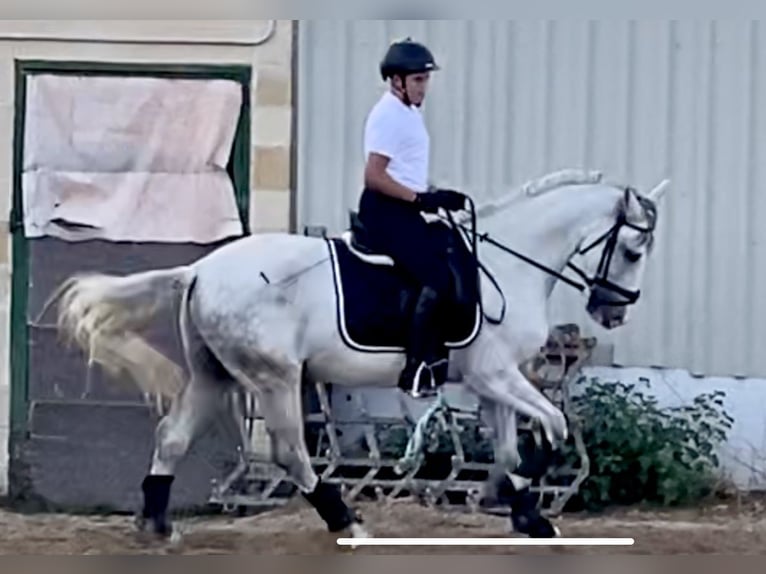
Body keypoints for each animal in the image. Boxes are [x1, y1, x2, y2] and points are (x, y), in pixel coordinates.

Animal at [49, 169, 672, 544]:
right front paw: (520, 498)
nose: (614, 313)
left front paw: (519, 506)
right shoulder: (496, 374)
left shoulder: (492, 380)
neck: (511, 264)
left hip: (215, 374)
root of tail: (200, 268)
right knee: (290, 452)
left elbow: (508, 445)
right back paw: (346, 520)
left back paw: (158, 525)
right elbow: (554, 424)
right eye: (633, 249)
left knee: (173, 437)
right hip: (274, 377)